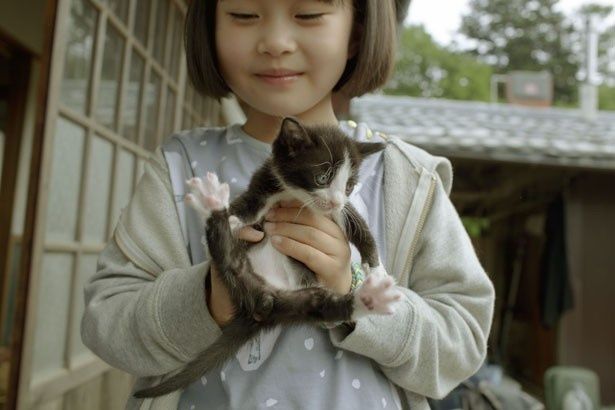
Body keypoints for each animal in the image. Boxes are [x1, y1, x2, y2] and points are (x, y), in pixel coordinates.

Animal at [135, 116, 402, 398]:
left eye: (349, 186)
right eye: (322, 177)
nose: (335, 201)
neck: (296, 196)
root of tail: (259, 302)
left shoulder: (338, 212)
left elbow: (360, 229)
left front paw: (377, 270)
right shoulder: (265, 181)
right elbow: (250, 204)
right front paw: (235, 218)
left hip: (294, 305)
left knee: (322, 307)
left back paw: (369, 298)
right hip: (236, 269)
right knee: (223, 249)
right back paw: (214, 206)